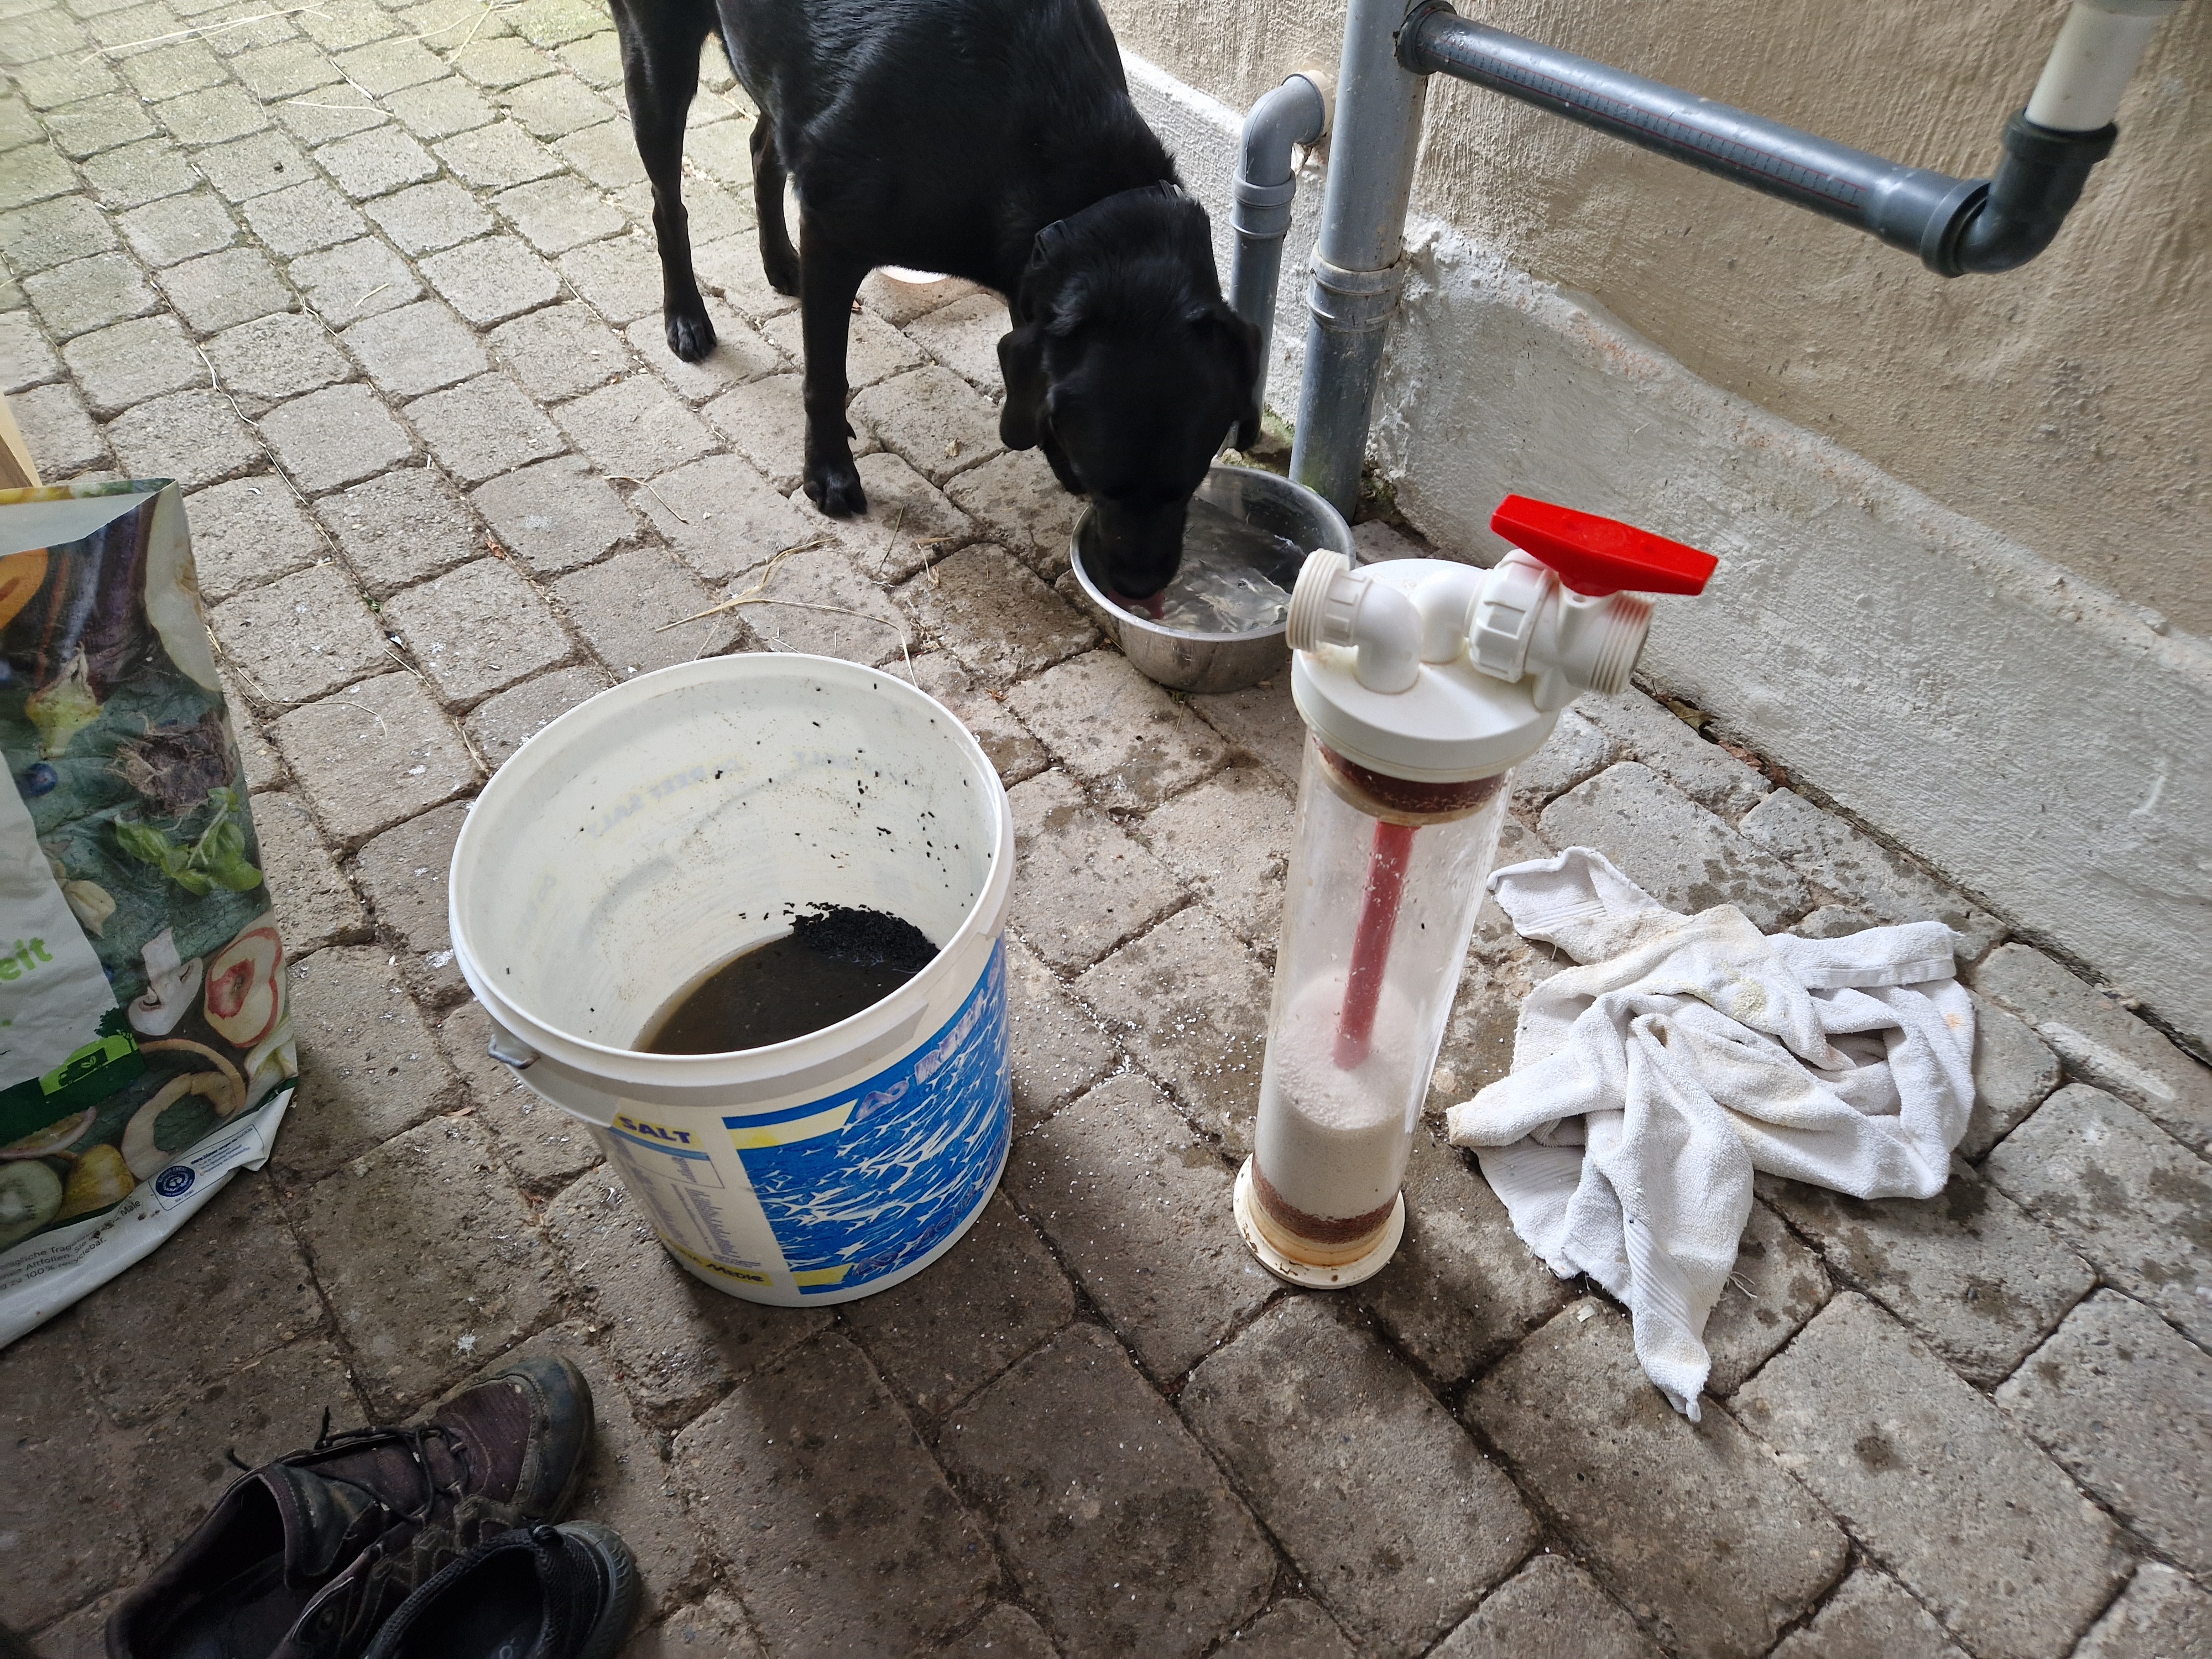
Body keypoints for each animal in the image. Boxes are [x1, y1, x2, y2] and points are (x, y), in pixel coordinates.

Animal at [609, 0, 1261, 604]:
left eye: (1193, 480)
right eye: (1092, 482)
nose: (1139, 588)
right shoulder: (833, 235)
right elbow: (825, 377)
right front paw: (828, 473)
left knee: (762, 150)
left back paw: (780, 263)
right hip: (658, 64)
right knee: (667, 203)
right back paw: (686, 317)